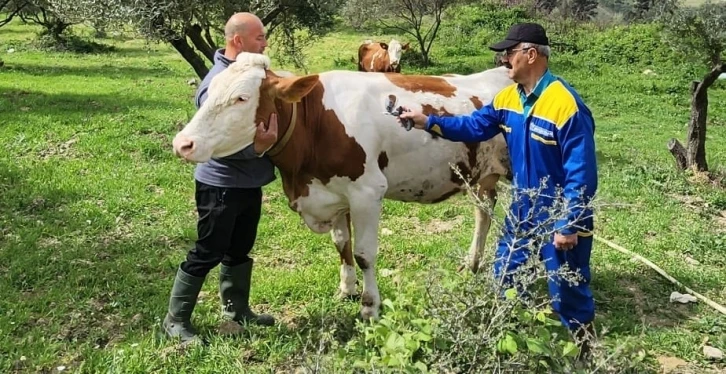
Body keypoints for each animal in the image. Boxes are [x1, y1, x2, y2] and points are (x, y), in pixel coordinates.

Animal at [171, 51, 516, 322]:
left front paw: (369, 307)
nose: (183, 143)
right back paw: (471, 264)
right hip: (482, 175)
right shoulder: (333, 194)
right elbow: (342, 244)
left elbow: (364, 254)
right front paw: (346, 289)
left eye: (242, 98)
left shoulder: (367, 193)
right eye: (210, 91)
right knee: (483, 213)